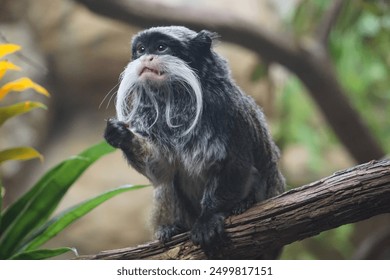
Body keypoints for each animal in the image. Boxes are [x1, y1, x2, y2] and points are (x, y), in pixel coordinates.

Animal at [103, 25, 284, 256]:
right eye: (141, 50)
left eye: (161, 47)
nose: (146, 58)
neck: (175, 100)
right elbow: (163, 170)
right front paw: (121, 136)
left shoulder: (229, 111)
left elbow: (235, 164)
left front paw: (209, 219)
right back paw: (173, 227)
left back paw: (245, 204)